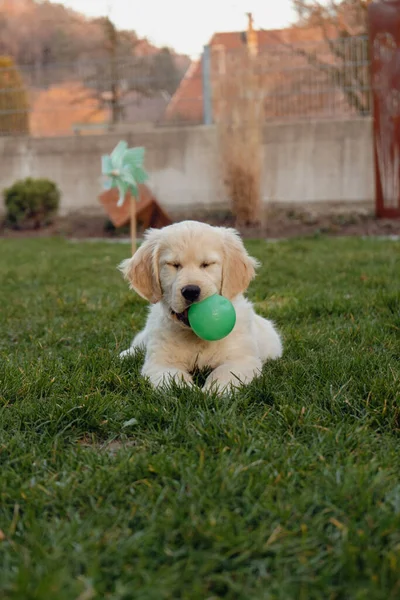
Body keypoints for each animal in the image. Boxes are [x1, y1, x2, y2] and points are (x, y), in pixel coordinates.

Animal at [118, 223, 282, 392]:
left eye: (207, 264)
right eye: (174, 265)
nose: (191, 291)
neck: (195, 336)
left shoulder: (241, 360)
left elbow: (223, 374)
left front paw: (213, 392)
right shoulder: (160, 363)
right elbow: (175, 380)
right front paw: (190, 391)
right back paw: (126, 354)